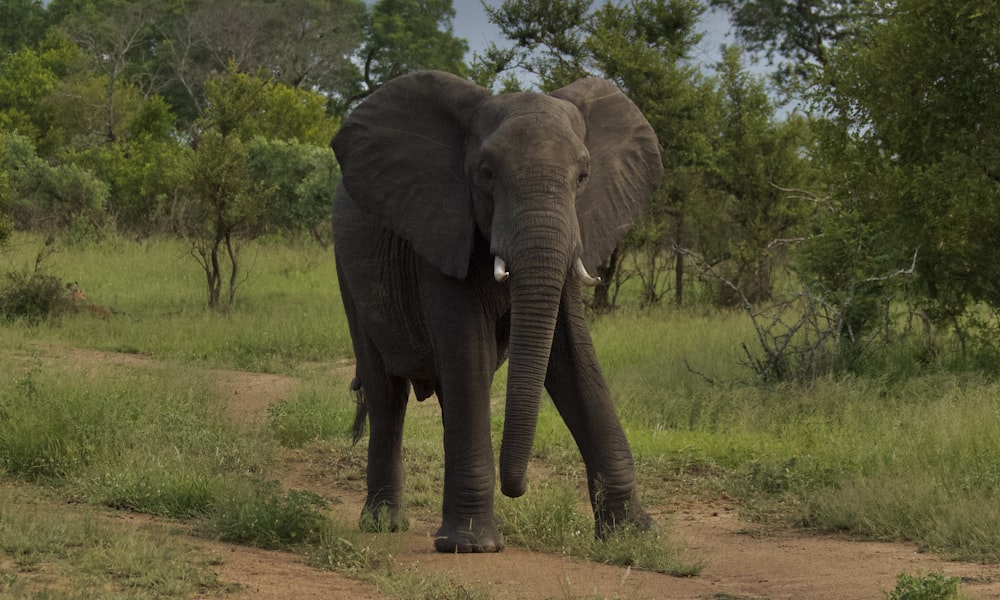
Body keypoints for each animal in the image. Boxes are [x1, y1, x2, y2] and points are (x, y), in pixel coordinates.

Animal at [332, 70, 664, 552]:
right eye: (486, 174)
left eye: (583, 176)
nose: (517, 488)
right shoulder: (442, 232)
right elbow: (469, 349)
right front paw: (470, 545)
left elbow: (573, 359)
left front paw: (635, 537)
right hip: (347, 272)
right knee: (387, 393)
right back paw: (383, 524)